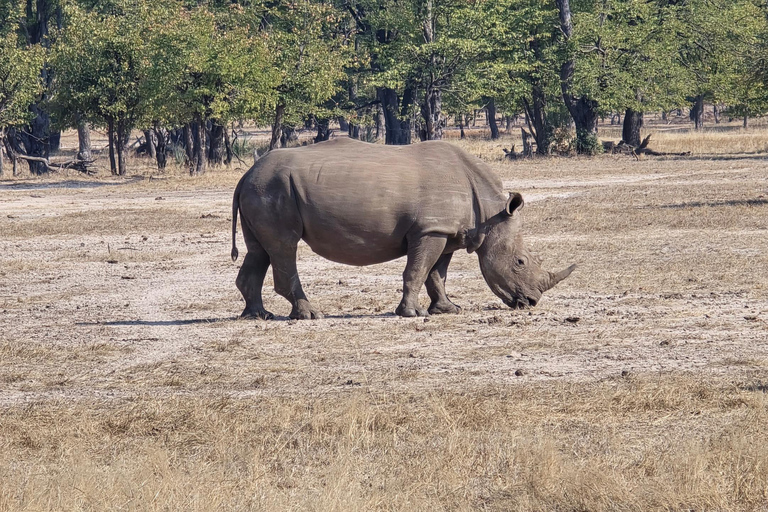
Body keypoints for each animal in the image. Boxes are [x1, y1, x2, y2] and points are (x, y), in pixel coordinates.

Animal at [231, 138, 574, 320]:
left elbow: (437, 274)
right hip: (273, 189)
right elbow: (418, 270)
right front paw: (412, 314)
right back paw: (310, 315)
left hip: (261, 189)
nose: (531, 303)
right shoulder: (429, 231)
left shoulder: (444, 231)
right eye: (520, 262)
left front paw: (448, 309)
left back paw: (258, 315)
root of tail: (246, 173)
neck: (491, 213)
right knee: (284, 247)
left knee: (260, 250)